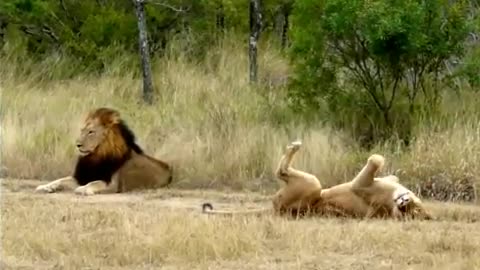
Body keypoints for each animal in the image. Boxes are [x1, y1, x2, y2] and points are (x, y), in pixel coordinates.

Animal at [36, 107, 174, 196]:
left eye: (91, 132)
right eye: (82, 130)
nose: (77, 145)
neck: (96, 156)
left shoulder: (113, 184)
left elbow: (95, 183)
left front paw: (83, 189)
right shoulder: (81, 177)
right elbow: (60, 180)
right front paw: (44, 187)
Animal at [201, 140, 434, 220]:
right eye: (416, 208)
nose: (403, 205)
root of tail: (277, 209)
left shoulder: (360, 184)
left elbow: (376, 158)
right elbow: (384, 164)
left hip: (313, 184)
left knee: (281, 172)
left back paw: (294, 146)